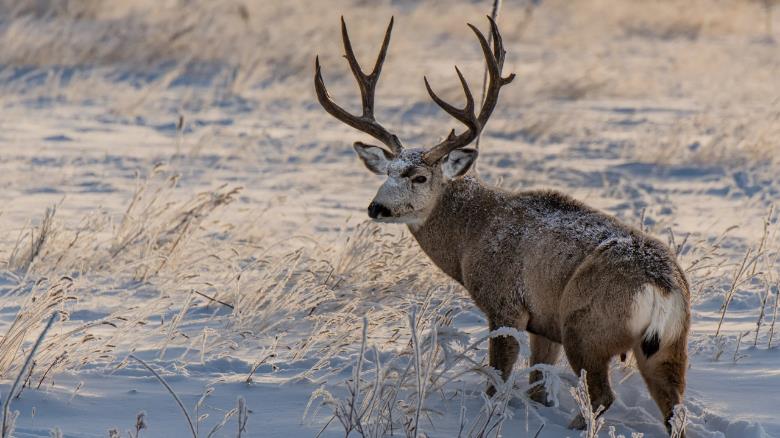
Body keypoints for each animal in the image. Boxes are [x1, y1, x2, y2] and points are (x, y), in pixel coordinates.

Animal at [314, 16, 690, 436]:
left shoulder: (504, 304)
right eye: (388, 172)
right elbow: (537, 387)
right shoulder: (544, 323)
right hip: (667, 346)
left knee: (601, 397)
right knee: (674, 410)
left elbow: (497, 381)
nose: (376, 207)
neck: (472, 234)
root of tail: (662, 286)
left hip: (586, 328)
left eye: (419, 177)